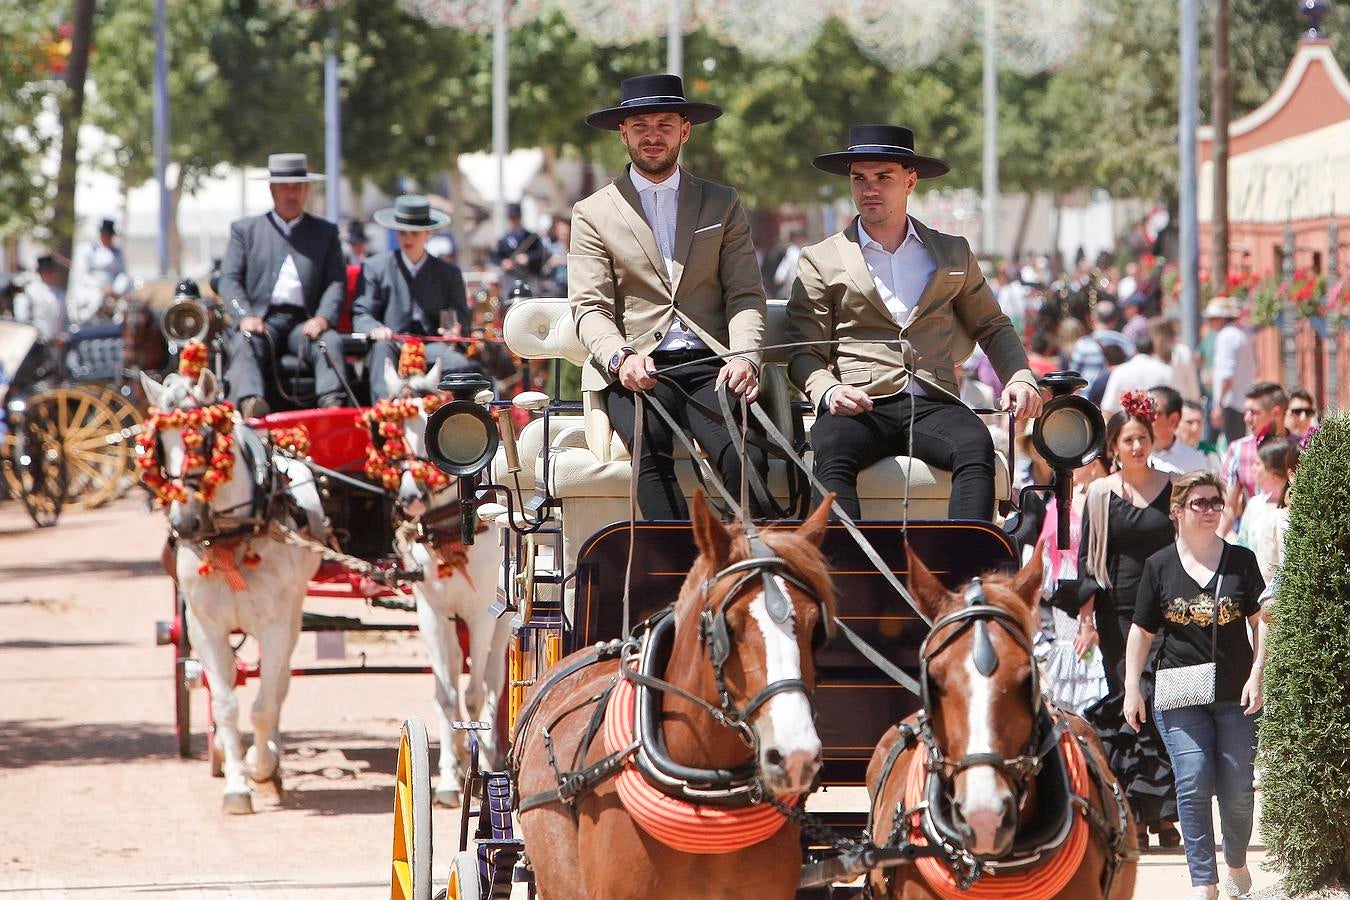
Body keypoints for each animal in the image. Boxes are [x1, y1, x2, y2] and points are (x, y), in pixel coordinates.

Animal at [141, 369, 322, 814]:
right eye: (159, 444)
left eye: (205, 439)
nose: (184, 523)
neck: (233, 534)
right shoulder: (205, 627)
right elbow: (225, 705)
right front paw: (237, 785)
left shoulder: (275, 625)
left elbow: (263, 707)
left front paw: (261, 768)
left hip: (291, 616)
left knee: (279, 683)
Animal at [380, 361, 510, 809]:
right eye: (389, 432)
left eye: (428, 419)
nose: (411, 497)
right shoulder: (433, 614)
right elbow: (447, 694)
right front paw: (451, 777)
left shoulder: (481, 614)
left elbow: (475, 694)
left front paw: (484, 762)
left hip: (502, 623)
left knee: (493, 680)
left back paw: (494, 751)